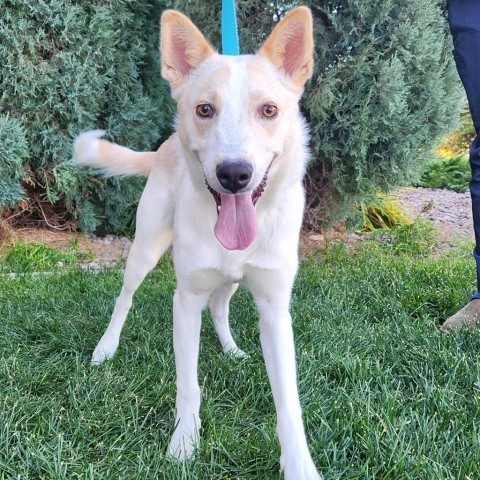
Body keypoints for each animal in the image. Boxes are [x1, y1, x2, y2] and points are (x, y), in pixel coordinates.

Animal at [75, 8, 320, 480]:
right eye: (205, 109)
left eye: (269, 110)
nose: (234, 174)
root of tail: (164, 146)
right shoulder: (185, 300)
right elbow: (188, 385)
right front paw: (184, 444)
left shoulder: (275, 309)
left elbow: (289, 403)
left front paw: (299, 464)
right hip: (146, 248)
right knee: (124, 298)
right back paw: (105, 349)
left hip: (231, 280)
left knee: (221, 306)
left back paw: (232, 349)